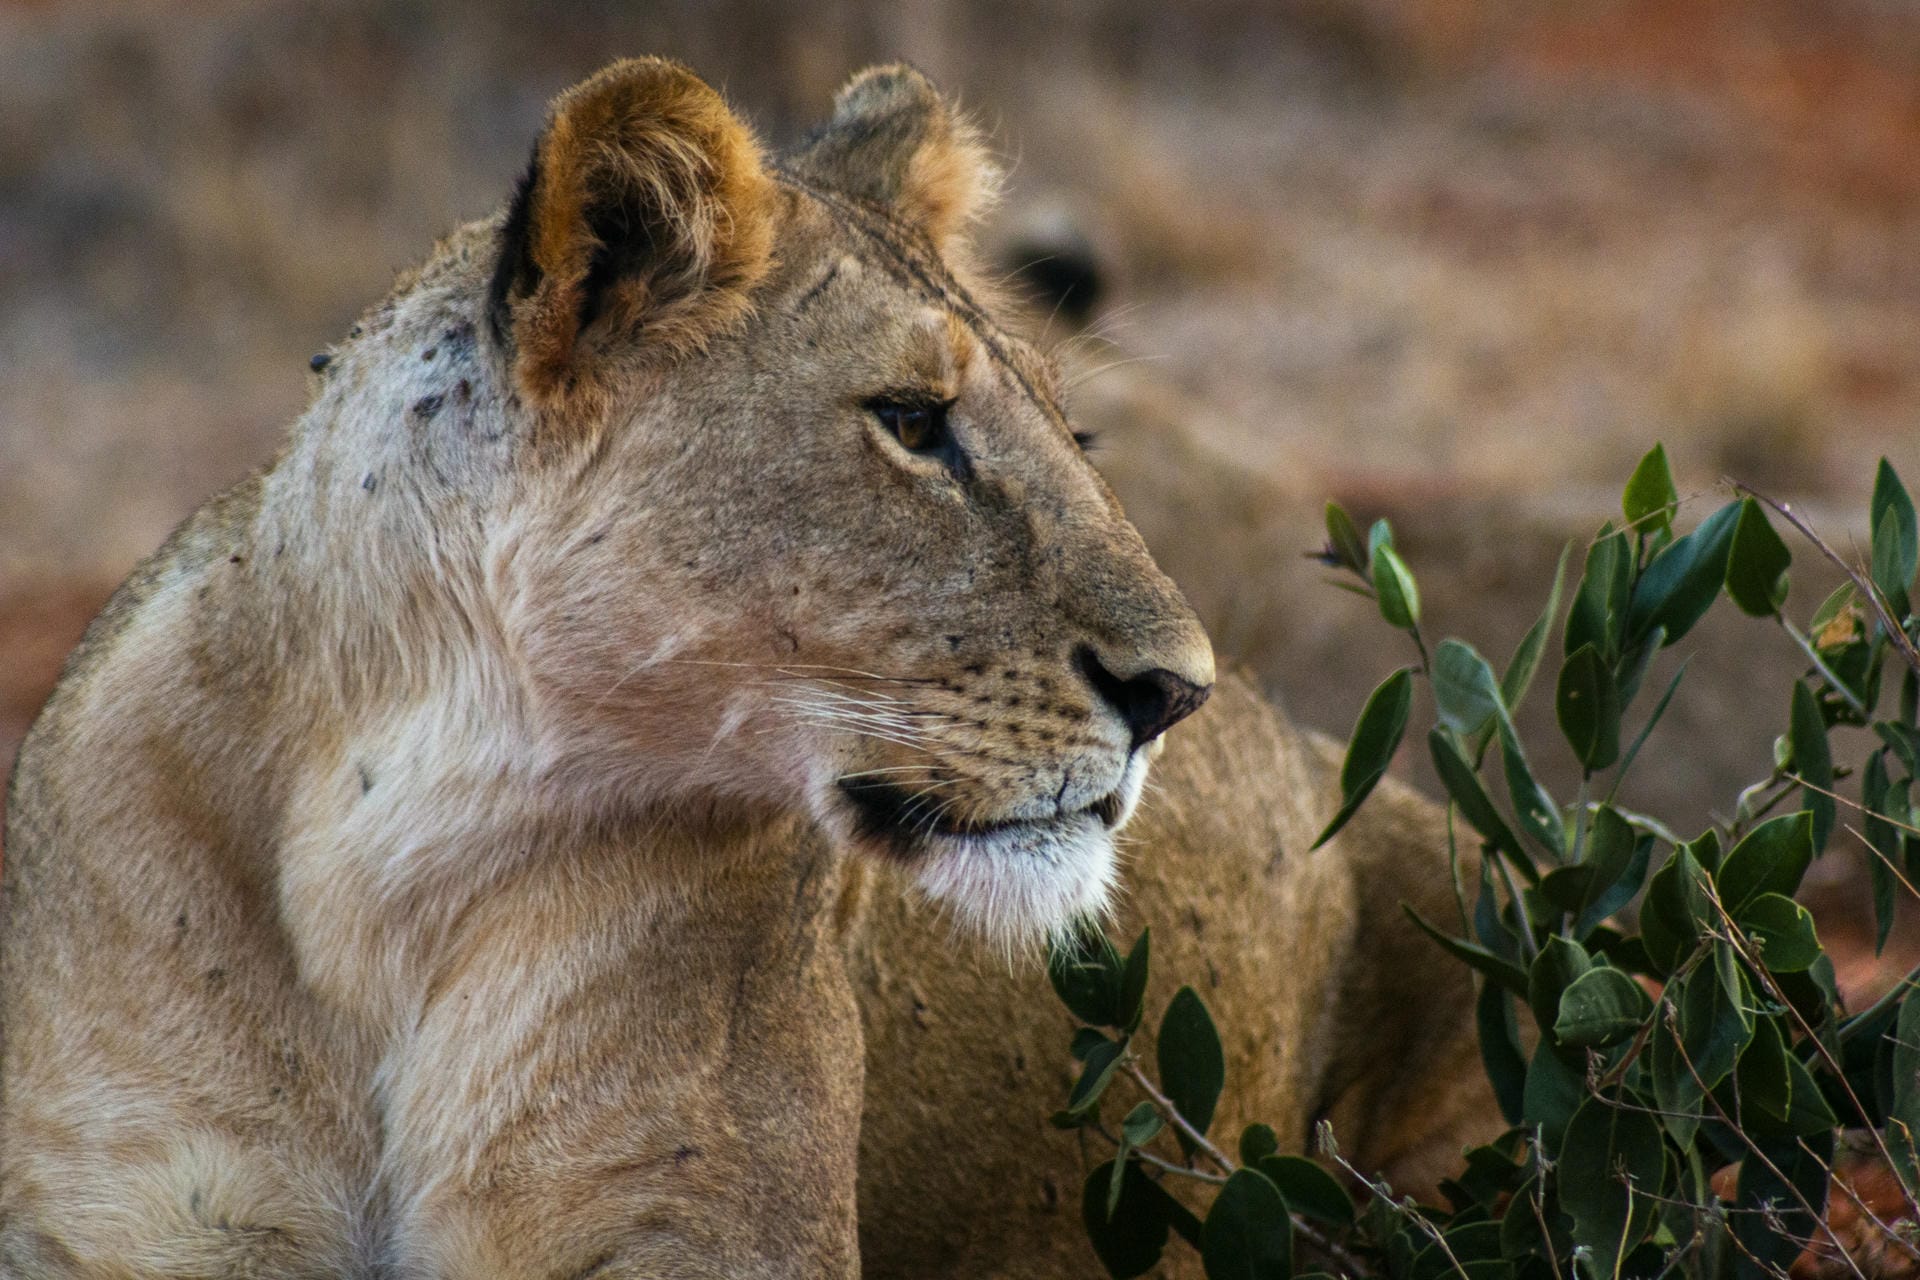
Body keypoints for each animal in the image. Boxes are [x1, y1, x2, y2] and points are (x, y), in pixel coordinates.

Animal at [0, 58, 1492, 1278]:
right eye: (913, 423)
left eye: (1078, 435)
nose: (1178, 692)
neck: (389, 850)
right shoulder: (136, 1212)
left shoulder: (694, 1212)